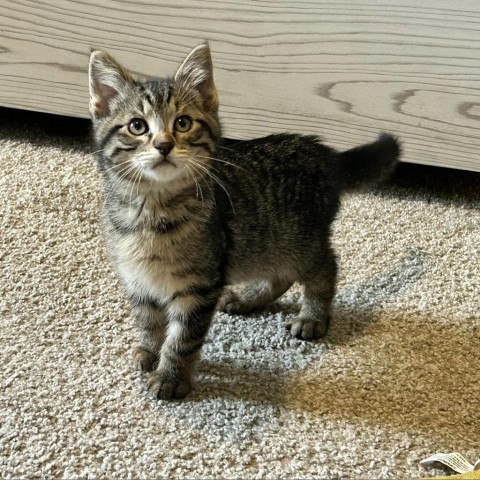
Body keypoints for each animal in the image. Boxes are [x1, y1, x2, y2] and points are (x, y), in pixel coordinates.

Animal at [88, 43, 400, 400]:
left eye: (183, 123)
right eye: (137, 126)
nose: (164, 145)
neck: (152, 210)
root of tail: (326, 153)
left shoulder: (200, 286)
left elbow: (182, 338)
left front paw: (171, 376)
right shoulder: (138, 280)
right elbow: (149, 321)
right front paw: (151, 350)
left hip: (300, 240)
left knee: (326, 266)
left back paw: (312, 316)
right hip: (268, 242)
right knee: (281, 275)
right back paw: (247, 299)